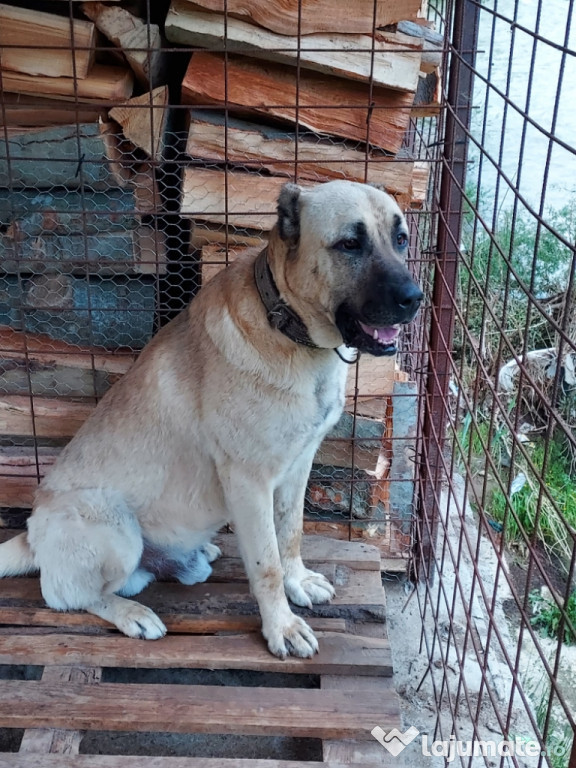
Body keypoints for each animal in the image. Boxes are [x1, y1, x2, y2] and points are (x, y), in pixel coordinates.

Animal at [0, 177, 424, 656]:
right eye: (350, 244)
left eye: (400, 239)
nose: (414, 299)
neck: (289, 329)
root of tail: (30, 533)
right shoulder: (249, 481)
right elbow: (266, 563)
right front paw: (282, 627)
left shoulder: (298, 467)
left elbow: (290, 534)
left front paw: (298, 581)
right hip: (112, 524)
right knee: (66, 595)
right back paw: (132, 614)